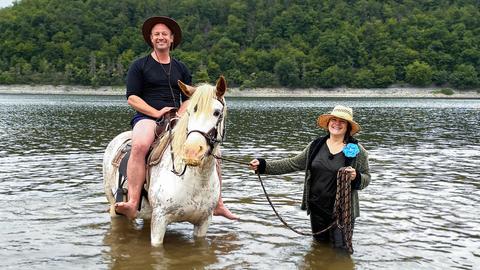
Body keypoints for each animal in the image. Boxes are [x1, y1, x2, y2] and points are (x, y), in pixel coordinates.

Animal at [101, 76, 229, 247]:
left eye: (217, 113)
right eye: (190, 112)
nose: (192, 151)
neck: (195, 180)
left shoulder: (203, 223)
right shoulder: (159, 221)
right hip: (114, 206)